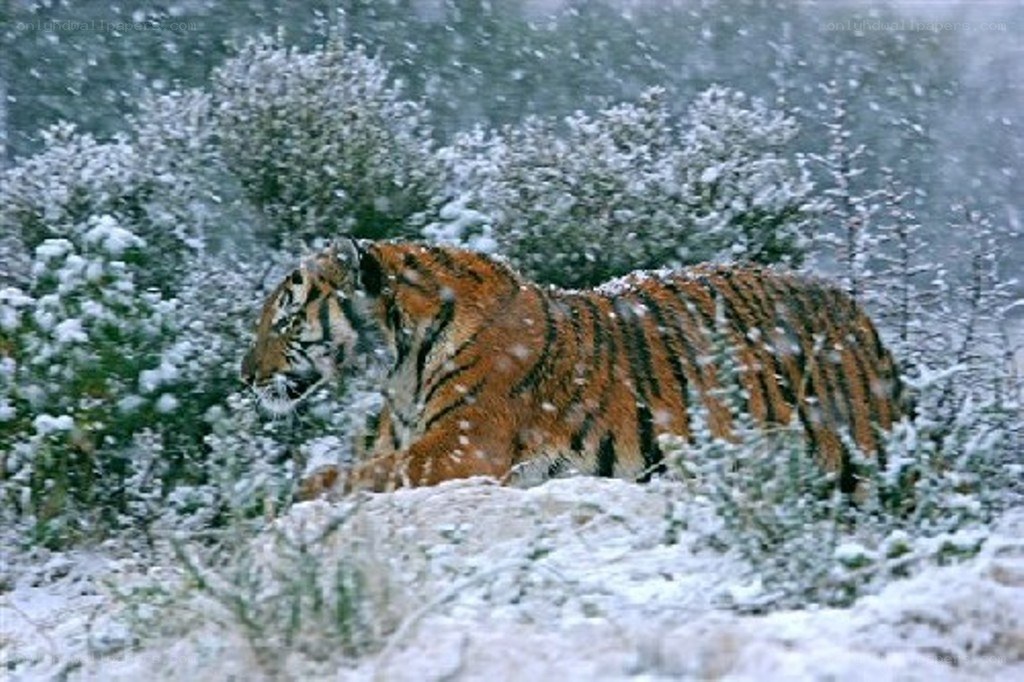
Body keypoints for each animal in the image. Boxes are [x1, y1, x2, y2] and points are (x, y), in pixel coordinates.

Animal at [241, 239, 906, 497]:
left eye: (285, 322)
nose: (245, 377)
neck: (399, 366)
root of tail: (856, 311)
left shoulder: (461, 450)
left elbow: (347, 478)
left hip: (859, 458)